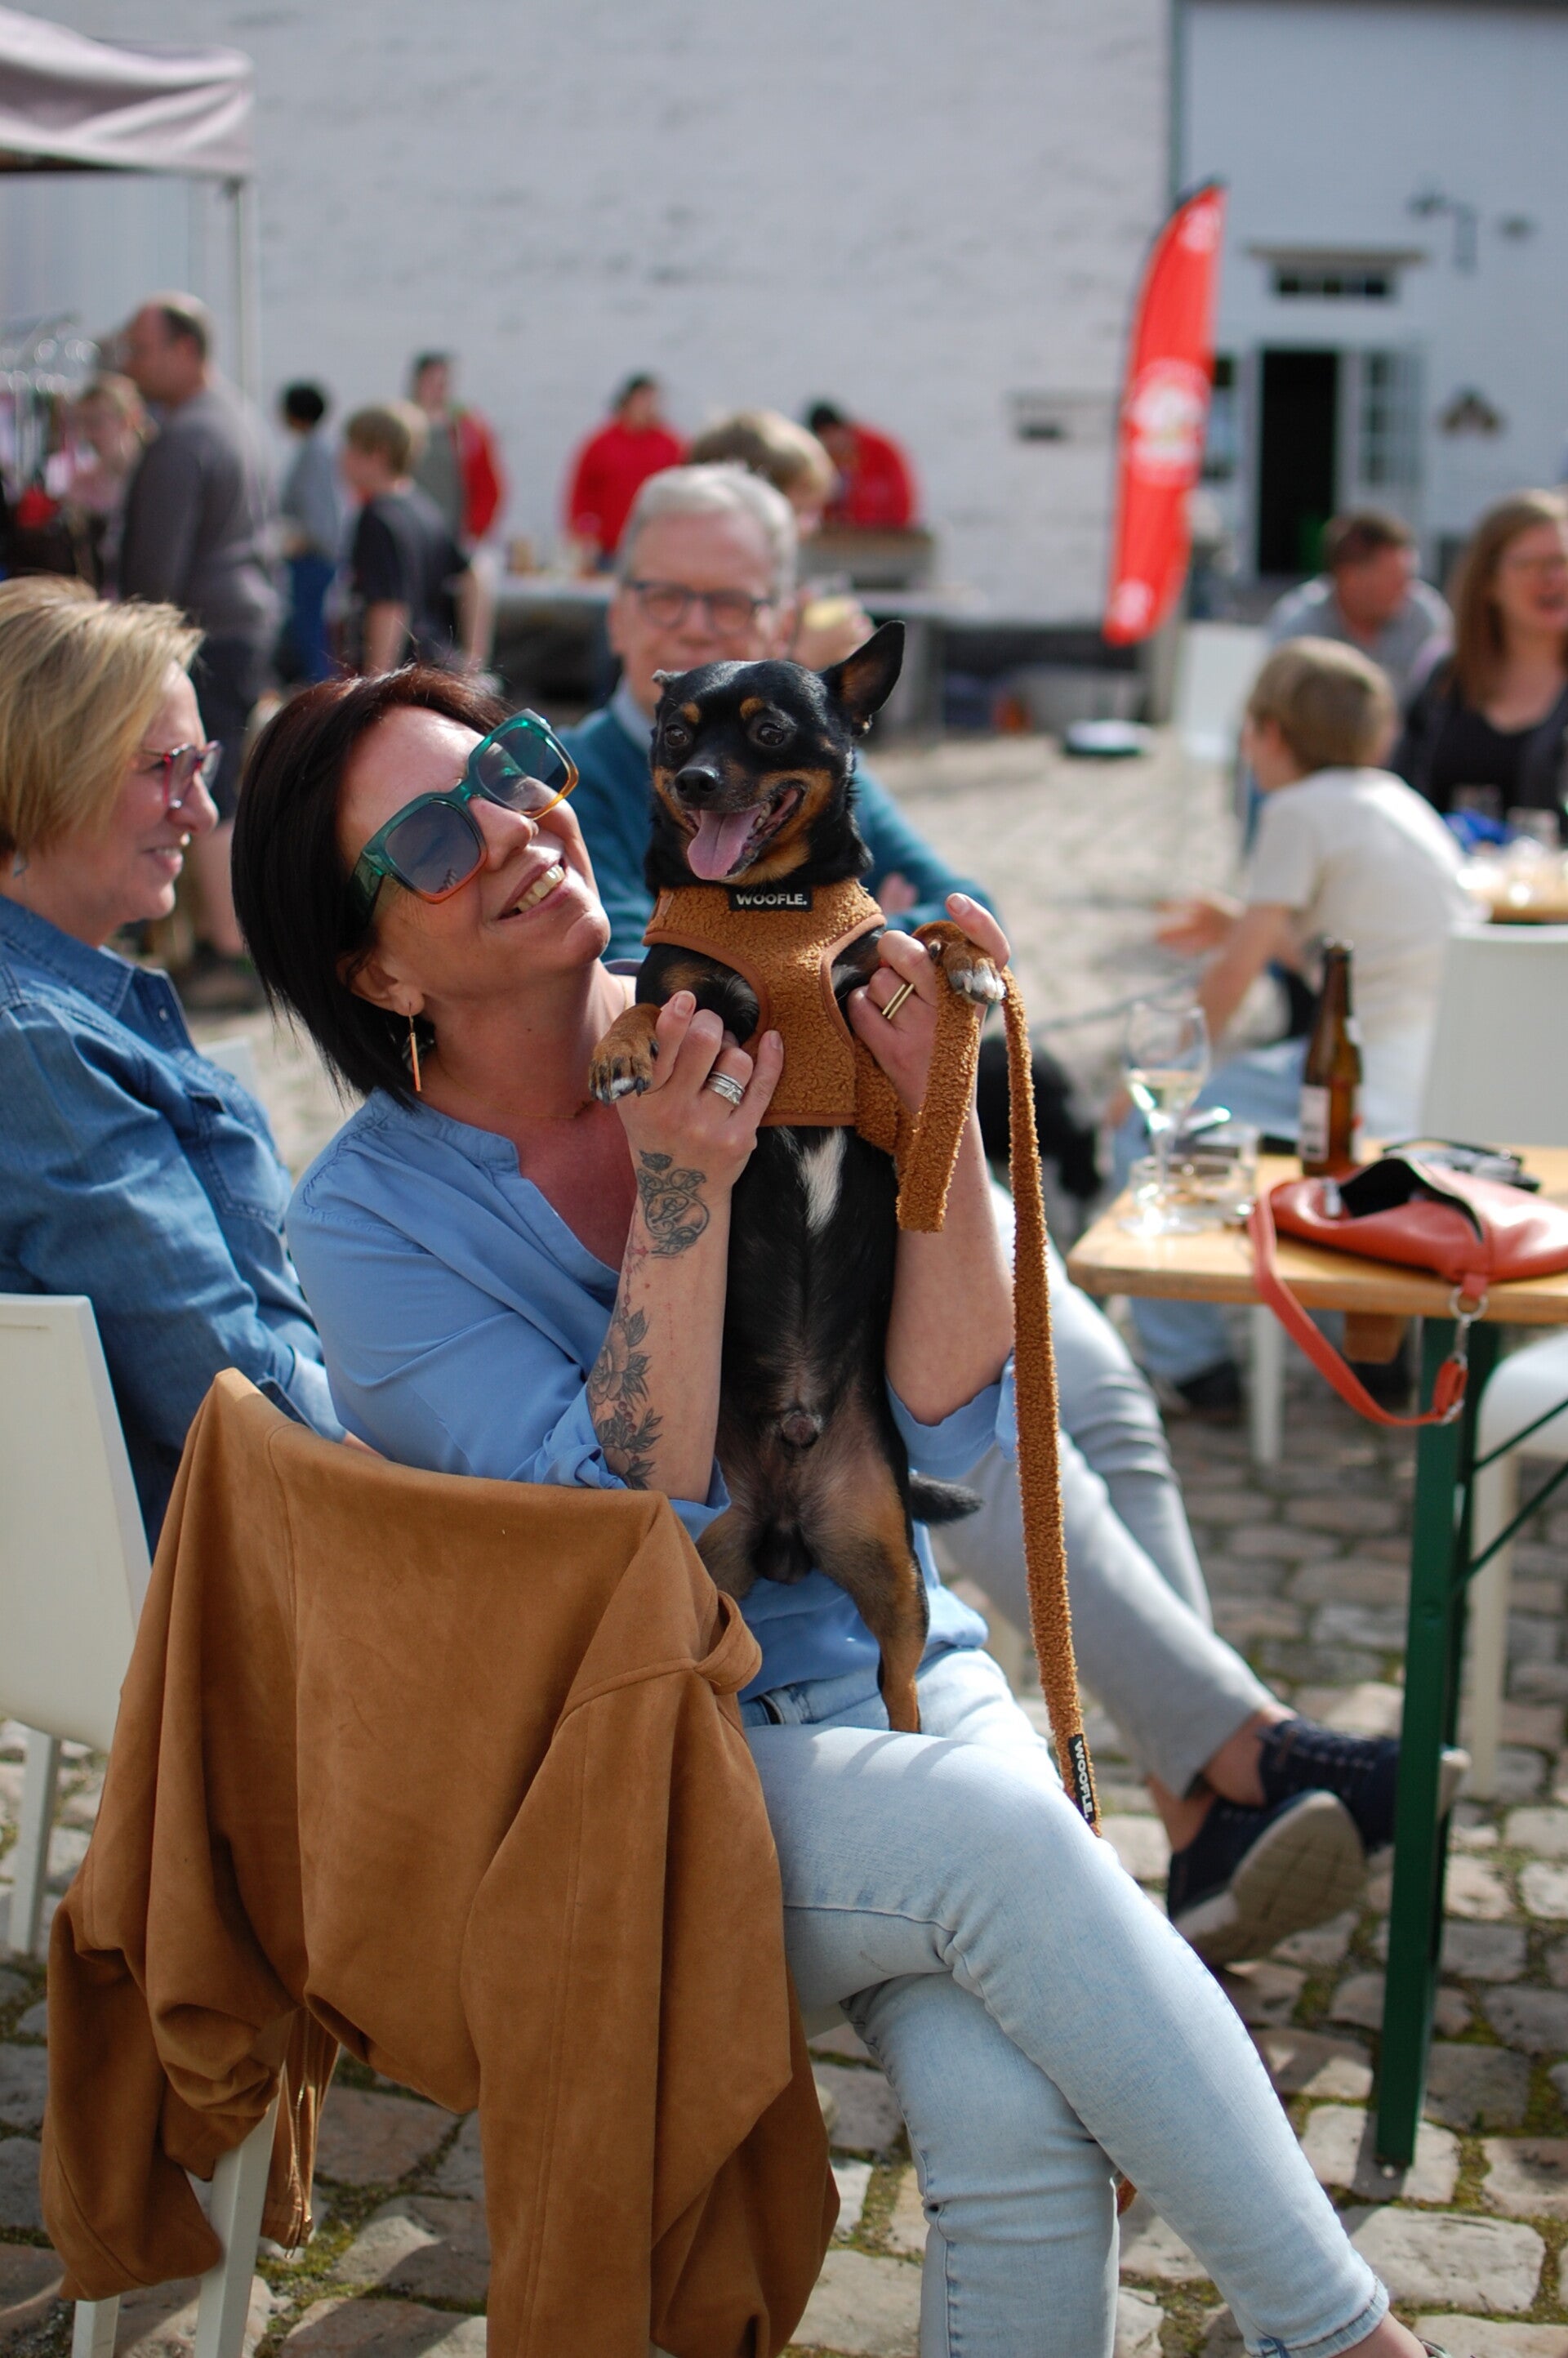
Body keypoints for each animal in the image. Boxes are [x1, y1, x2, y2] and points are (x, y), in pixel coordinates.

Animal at [588, 621, 1004, 1732]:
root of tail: (786, 1507)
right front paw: (623, 1045)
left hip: (889, 1563)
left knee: (899, 1678)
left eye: (769, 731)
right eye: (676, 734)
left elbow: (913, 936)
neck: (766, 906)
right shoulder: (687, 981)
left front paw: (969, 959)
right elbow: (655, 998)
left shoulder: (868, 969)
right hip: (708, 1570)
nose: (695, 779)